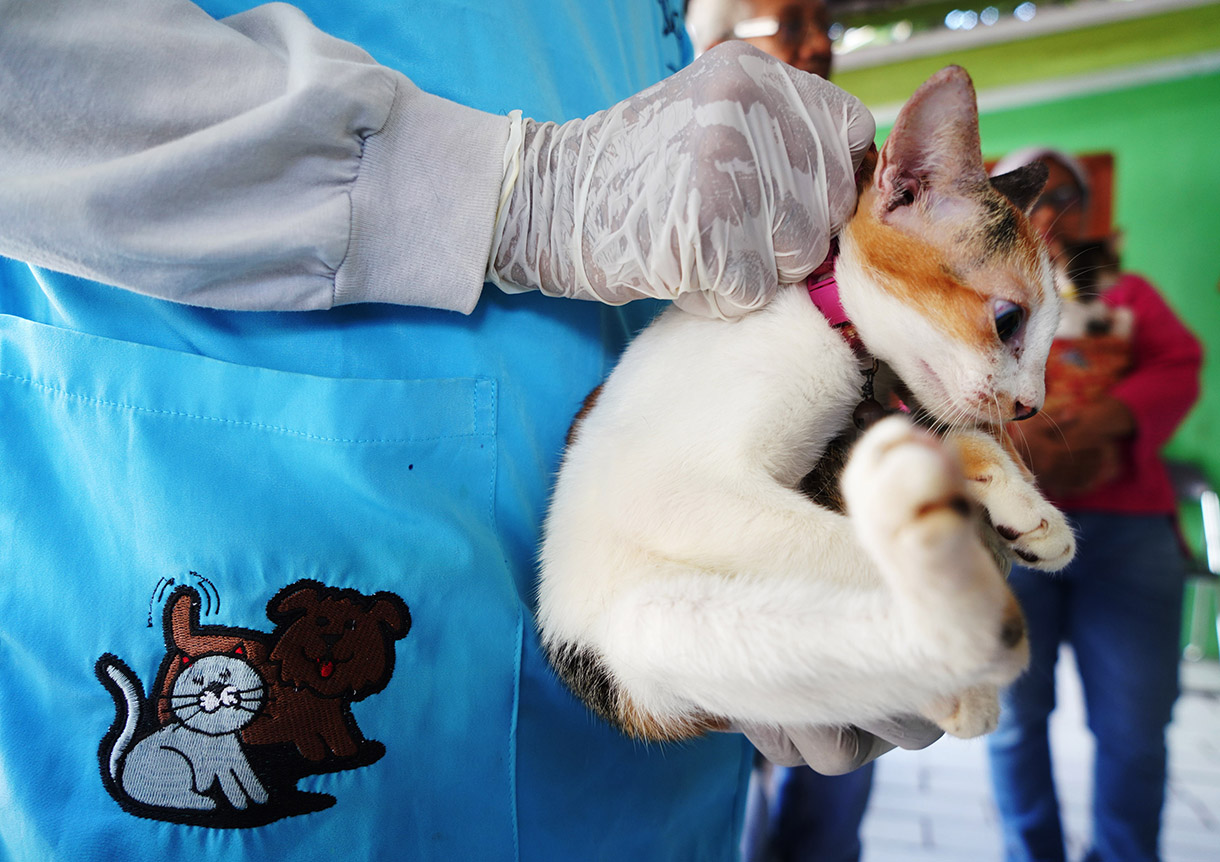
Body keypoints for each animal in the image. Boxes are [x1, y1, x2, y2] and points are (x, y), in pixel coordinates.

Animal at [539, 67, 1073, 746]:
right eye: (1008, 320)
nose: (1030, 404)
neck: (833, 329)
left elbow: (938, 434)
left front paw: (1025, 504)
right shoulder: (670, 488)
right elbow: (854, 549)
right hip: (655, 623)